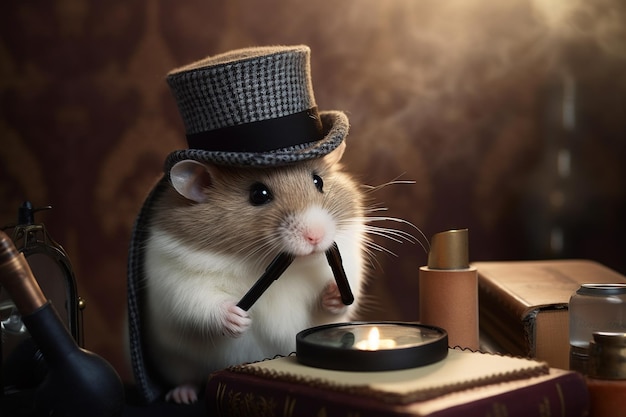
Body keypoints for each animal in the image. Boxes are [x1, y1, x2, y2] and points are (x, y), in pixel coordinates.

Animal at [141, 141, 366, 402]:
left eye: (318, 181)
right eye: (259, 194)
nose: (316, 237)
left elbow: (335, 307)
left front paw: (333, 295)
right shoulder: (177, 278)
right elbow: (200, 303)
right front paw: (238, 319)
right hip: (176, 361)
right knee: (186, 376)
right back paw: (183, 395)